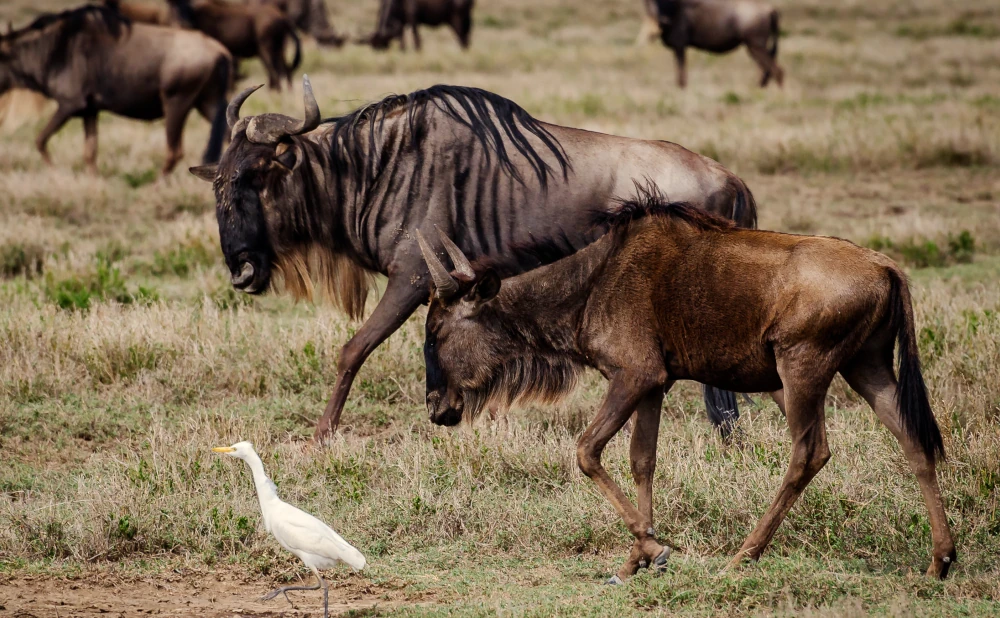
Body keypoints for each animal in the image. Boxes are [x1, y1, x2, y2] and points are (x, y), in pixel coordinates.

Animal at [0, 6, 229, 176]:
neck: (53, 49)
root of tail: (220, 51)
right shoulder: (90, 110)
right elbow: (90, 151)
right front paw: (93, 180)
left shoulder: (70, 104)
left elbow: (40, 140)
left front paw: (55, 172)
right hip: (208, 104)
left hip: (177, 102)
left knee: (174, 151)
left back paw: (156, 185)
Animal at [418, 188, 956, 584]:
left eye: (435, 331)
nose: (436, 408)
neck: (590, 283)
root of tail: (887, 267)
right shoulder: (655, 385)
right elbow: (642, 461)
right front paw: (633, 561)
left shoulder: (634, 375)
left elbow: (587, 450)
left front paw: (656, 549)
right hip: (868, 367)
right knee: (913, 439)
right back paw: (940, 561)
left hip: (802, 369)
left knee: (810, 451)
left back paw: (744, 555)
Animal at [652, 0, 784, 88]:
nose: (661, 20)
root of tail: (770, 10)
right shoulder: (679, 48)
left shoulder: (679, 46)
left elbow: (681, 78)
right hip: (754, 49)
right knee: (765, 72)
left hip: (756, 47)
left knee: (777, 71)